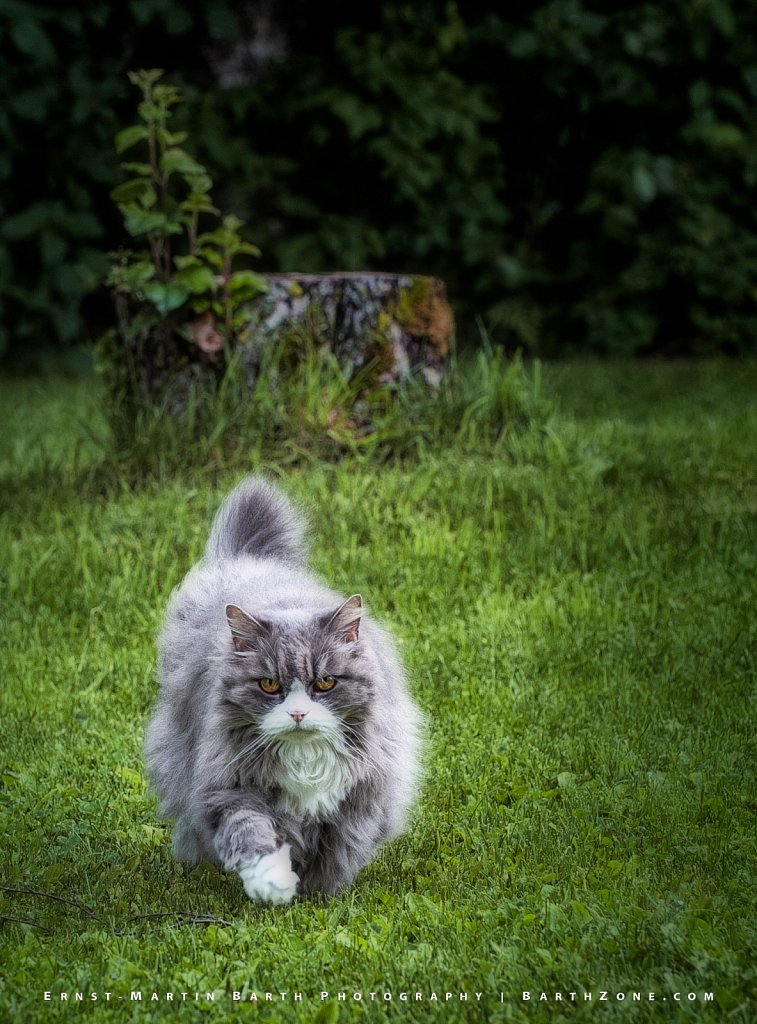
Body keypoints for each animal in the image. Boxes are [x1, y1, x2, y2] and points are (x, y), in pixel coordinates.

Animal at [145, 475, 424, 901]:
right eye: (269, 684)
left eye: (324, 682)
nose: (297, 713)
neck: (305, 759)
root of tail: (249, 560)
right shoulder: (226, 789)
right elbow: (251, 833)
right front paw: (275, 885)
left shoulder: (362, 798)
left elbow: (339, 849)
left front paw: (319, 895)